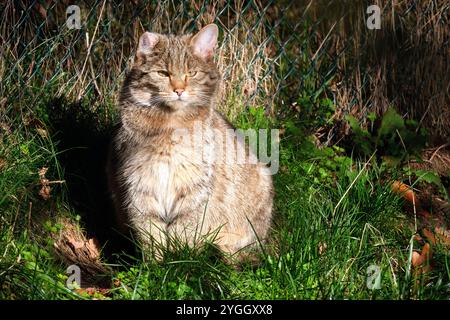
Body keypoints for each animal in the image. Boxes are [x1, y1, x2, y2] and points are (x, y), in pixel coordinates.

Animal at [107, 23, 272, 262]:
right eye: (162, 73)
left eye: (192, 73)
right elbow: (149, 232)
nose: (179, 90)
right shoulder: (139, 187)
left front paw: (179, 260)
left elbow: (184, 231)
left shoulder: (195, 190)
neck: (170, 127)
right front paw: (155, 264)